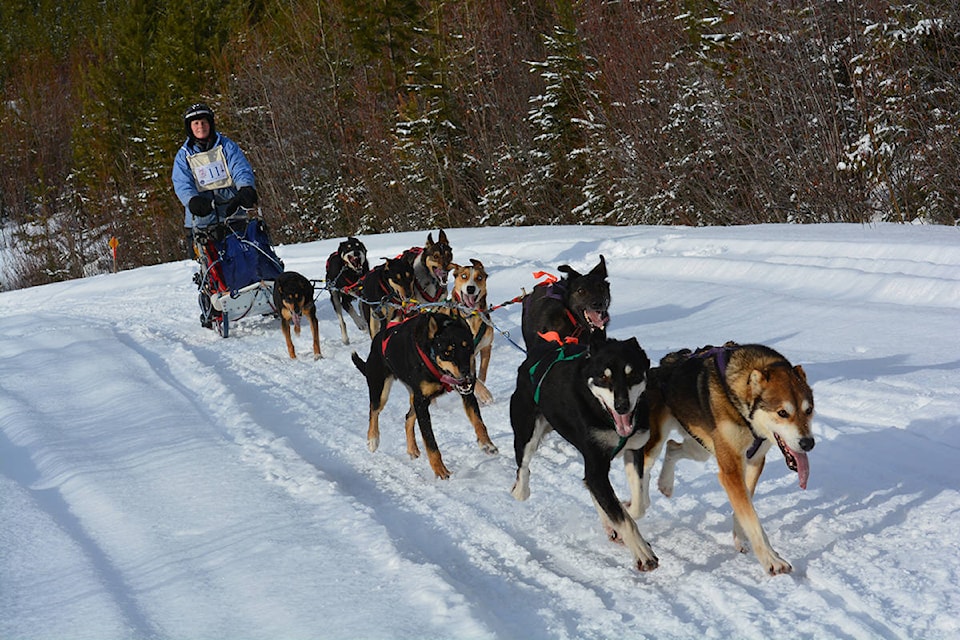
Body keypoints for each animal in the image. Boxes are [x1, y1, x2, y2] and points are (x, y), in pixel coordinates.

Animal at [352, 310, 502, 480]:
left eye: (468, 347)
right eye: (447, 352)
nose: (466, 373)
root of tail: (378, 337)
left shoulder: (465, 393)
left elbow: (479, 422)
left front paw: (487, 444)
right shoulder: (422, 402)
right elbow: (430, 441)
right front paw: (440, 470)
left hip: (416, 397)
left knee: (408, 417)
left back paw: (412, 449)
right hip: (381, 390)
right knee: (374, 411)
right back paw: (373, 439)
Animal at [510, 332, 660, 572]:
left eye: (633, 374)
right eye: (603, 377)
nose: (622, 406)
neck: (606, 418)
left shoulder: (634, 450)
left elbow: (637, 505)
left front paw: (625, 510)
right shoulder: (596, 466)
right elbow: (624, 517)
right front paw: (643, 553)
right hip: (526, 433)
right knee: (523, 468)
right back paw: (520, 491)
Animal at [636, 342, 816, 576]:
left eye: (809, 410)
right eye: (783, 412)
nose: (808, 443)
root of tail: (658, 369)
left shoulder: (754, 461)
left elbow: (745, 505)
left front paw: (740, 537)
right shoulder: (731, 469)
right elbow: (752, 518)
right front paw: (771, 559)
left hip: (701, 447)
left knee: (673, 447)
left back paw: (665, 484)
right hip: (656, 442)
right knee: (645, 467)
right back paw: (634, 506)